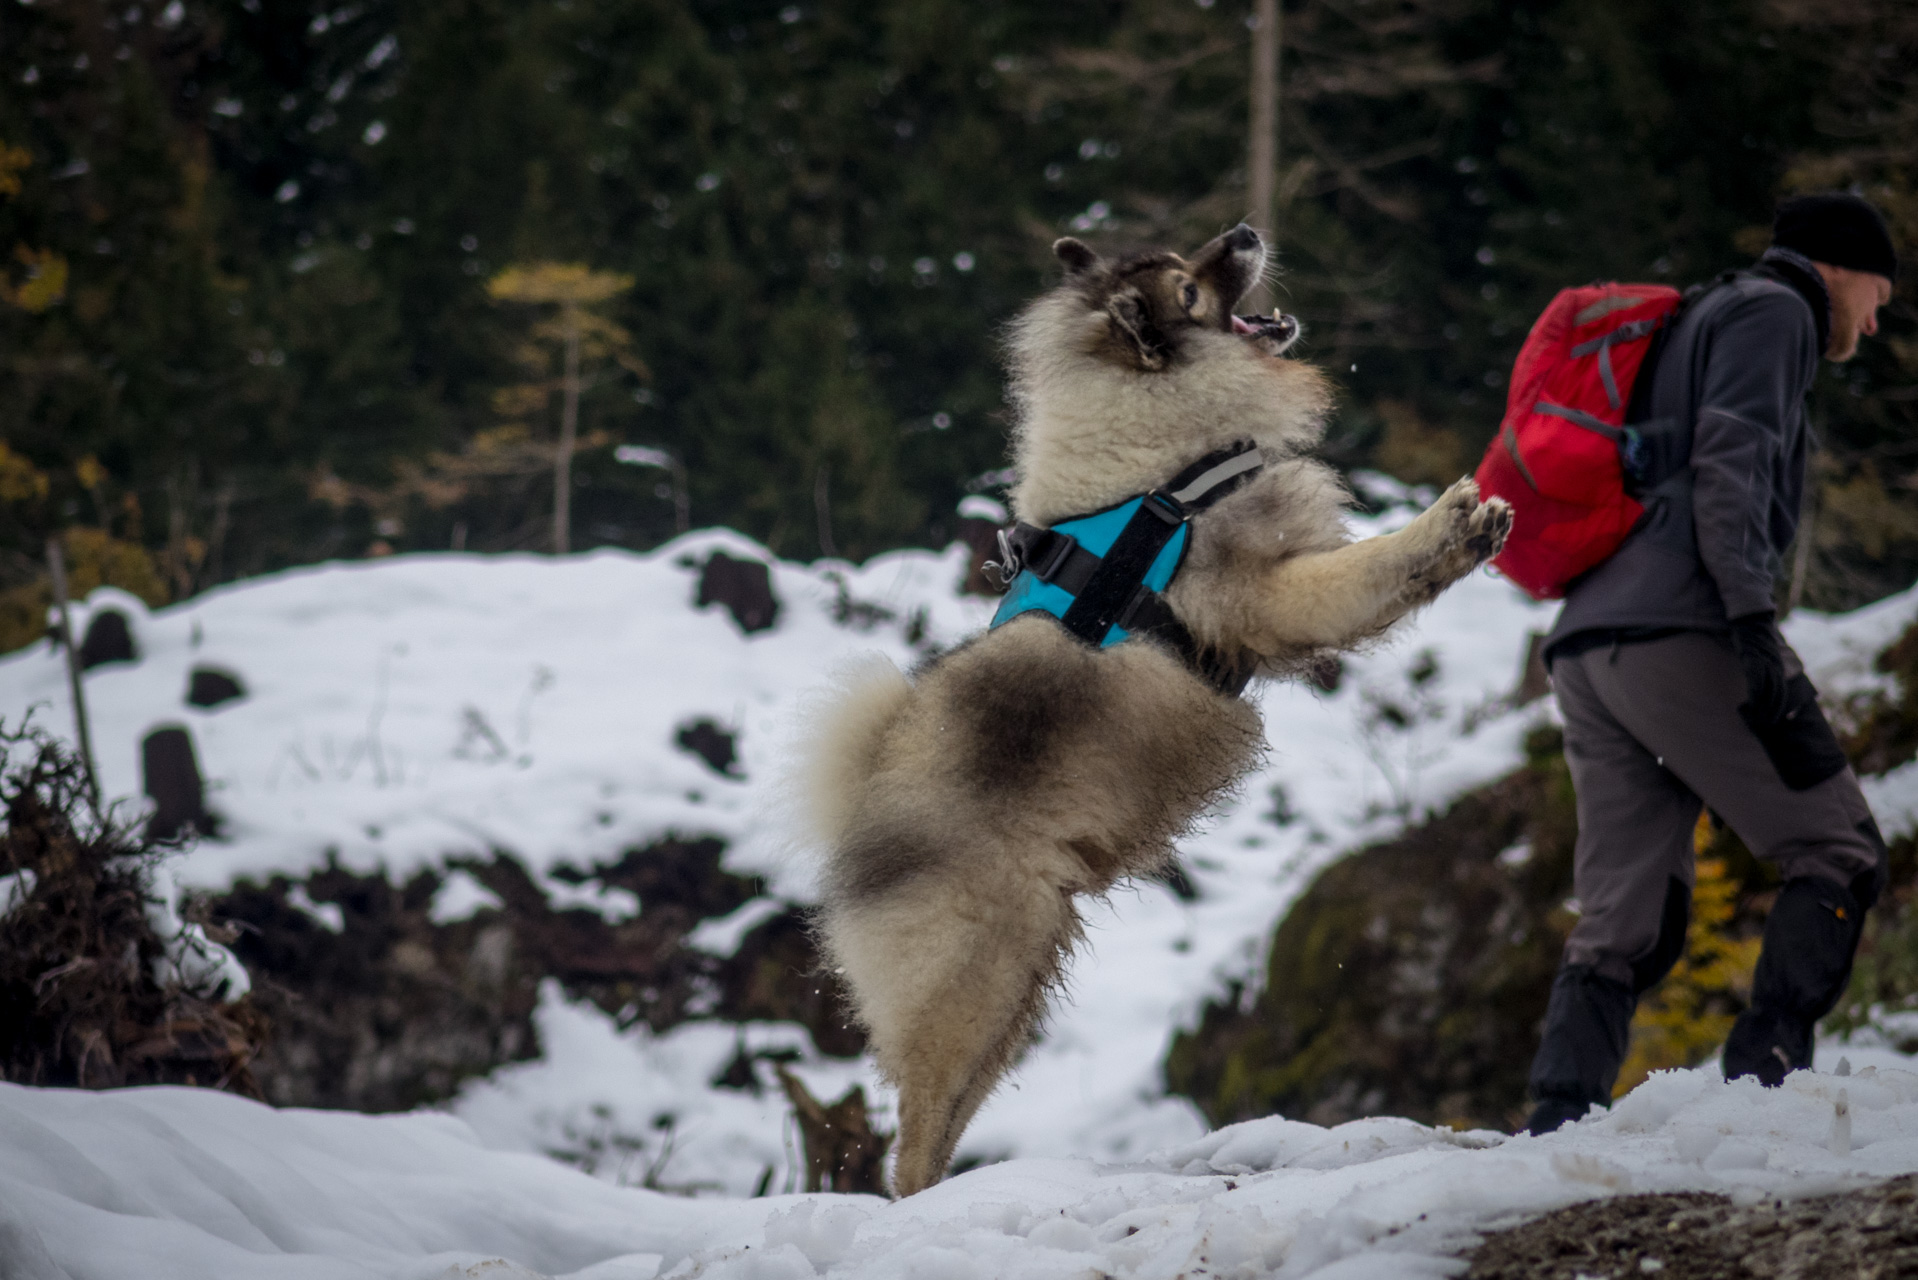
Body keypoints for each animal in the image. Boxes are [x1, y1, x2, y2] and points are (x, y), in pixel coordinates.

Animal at [797, 225, 1511, 1197]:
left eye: (1186, 254)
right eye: (1189, 287)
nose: (1246, 233)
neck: (1166, 455)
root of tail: (861, 822)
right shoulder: (1279, 595)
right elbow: (1371, 569)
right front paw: (1449, 527)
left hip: (1016, 984)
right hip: (979, 982)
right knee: (915, 1136)